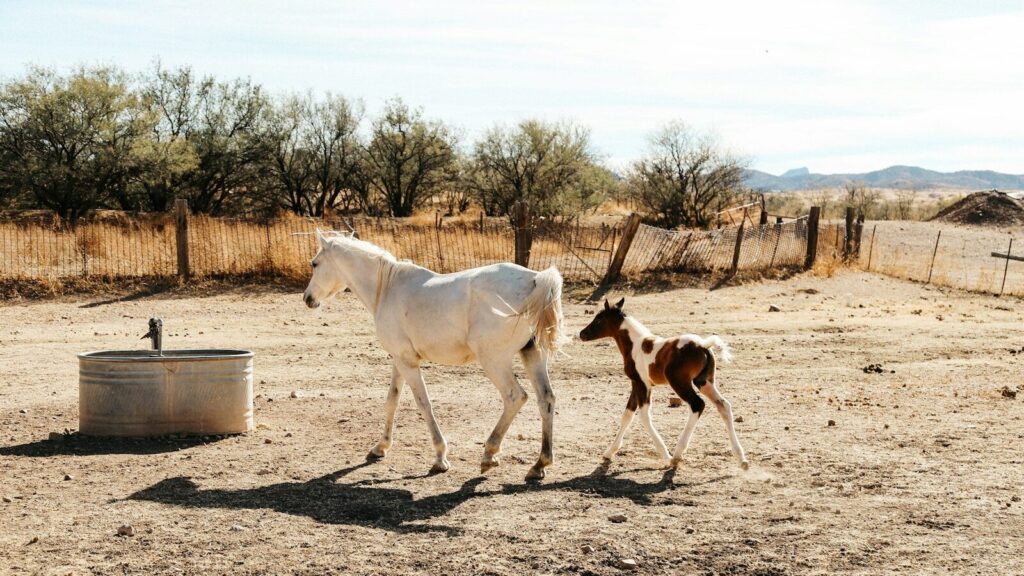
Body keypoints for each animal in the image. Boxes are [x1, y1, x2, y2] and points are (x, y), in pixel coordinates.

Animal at [302, 231, 568, 479]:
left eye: (314, 263)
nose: (307, 298)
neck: (387, 287)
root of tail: (534, 279)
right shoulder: (399, 360)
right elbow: (392, 400)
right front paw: (381, 447)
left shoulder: (408, 363)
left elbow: (424, 403)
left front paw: (440, 458)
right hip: (532, 355)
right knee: (546, 399)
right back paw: (539, 464)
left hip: (494, 361)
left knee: (515, 397)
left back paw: (489, 454)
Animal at [578, 298, 748, 470]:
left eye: (599, 319)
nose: (582, 334)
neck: (635, 345)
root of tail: (702, 345)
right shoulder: (636, 383)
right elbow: (627, 415)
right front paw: (609, 452)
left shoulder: (642, 383)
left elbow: (644, 416)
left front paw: (666, 456)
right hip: (704, 382)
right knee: (723, 405)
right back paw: (741, 459)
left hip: (679, 382)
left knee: (698, 405)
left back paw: (677, 455)